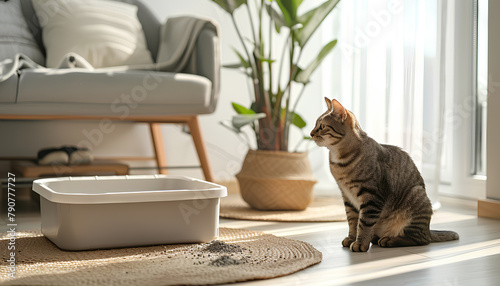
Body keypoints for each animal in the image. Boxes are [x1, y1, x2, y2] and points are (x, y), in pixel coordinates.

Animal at [310, 98, 458, 252]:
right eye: (315, 125)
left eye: (322, 126)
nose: (310, 133)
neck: (338, 161)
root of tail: (428, 230)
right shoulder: (347, 197)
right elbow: (352, 221)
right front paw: (351, 238)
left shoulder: (371, 196)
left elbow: (364, 223)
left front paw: (360, 243)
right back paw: (377, 238)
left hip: (416, 196)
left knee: (419, 239)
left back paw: (389, 240)